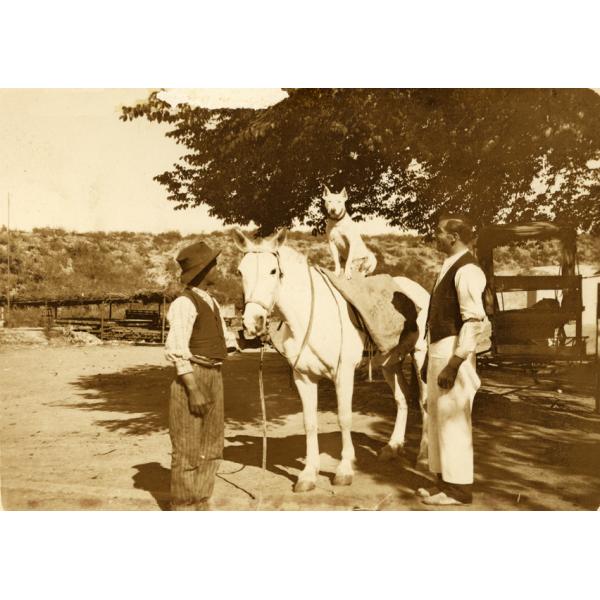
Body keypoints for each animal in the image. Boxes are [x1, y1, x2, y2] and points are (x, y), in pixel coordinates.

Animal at [232, 229, 428, 492]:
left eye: (273, 271)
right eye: (240, 271)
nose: (252, 323)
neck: (311, 316)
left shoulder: (343, 374)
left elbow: (344, 418)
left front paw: (344, 470)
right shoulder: (303, 377)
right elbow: (309, 422)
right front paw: (308, 474)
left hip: (421, 355)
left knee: (424, 402)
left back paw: (423, 457)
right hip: (391, 362)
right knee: (402, 399)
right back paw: (393, 447)